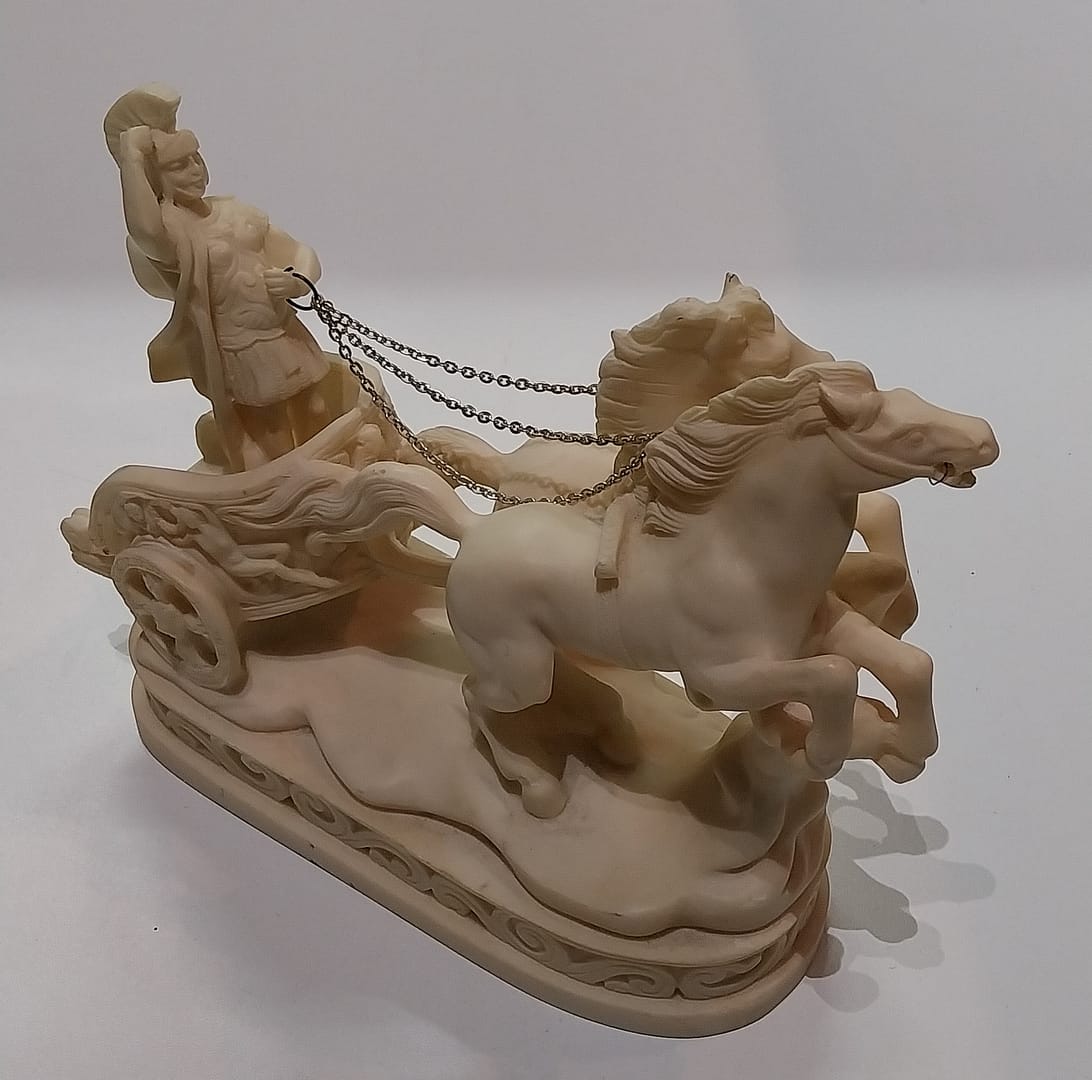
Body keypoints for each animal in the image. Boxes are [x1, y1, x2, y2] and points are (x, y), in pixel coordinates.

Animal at [344, 361, 998, 816]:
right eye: (910, 433)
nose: (984, 437)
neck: (743, 559)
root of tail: (473, 531)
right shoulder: (720, 678)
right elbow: (836, 676)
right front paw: (823, 749)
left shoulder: (816, 630)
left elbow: (908, 662)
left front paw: (906, 751)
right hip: (517, 667)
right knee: (474, 695)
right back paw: (540, 788)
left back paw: (616, 738)